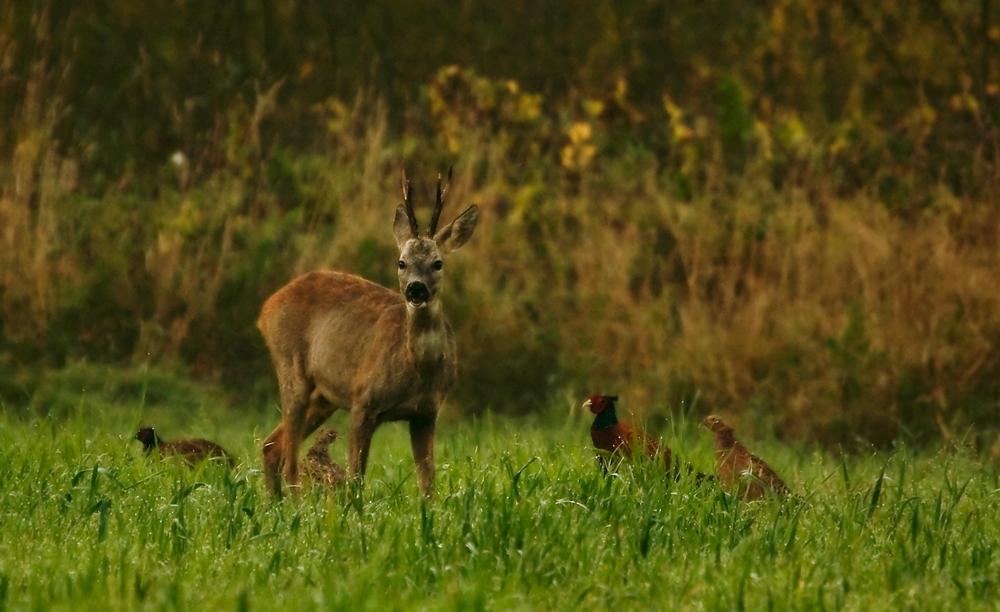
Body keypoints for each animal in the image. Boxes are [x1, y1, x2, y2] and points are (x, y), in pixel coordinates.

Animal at [256, 167, 478, 498]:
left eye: (438, 263)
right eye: (402, 262)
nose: (416, 289)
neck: (416, 370)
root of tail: (265, 310)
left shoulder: (426, 413)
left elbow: (428, 482)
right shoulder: (363, 401)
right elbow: (356, 477)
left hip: (324, 396)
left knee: (272, 445)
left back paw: (275, 504)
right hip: (291, 370)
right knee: (288, 460)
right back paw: (294, 504)